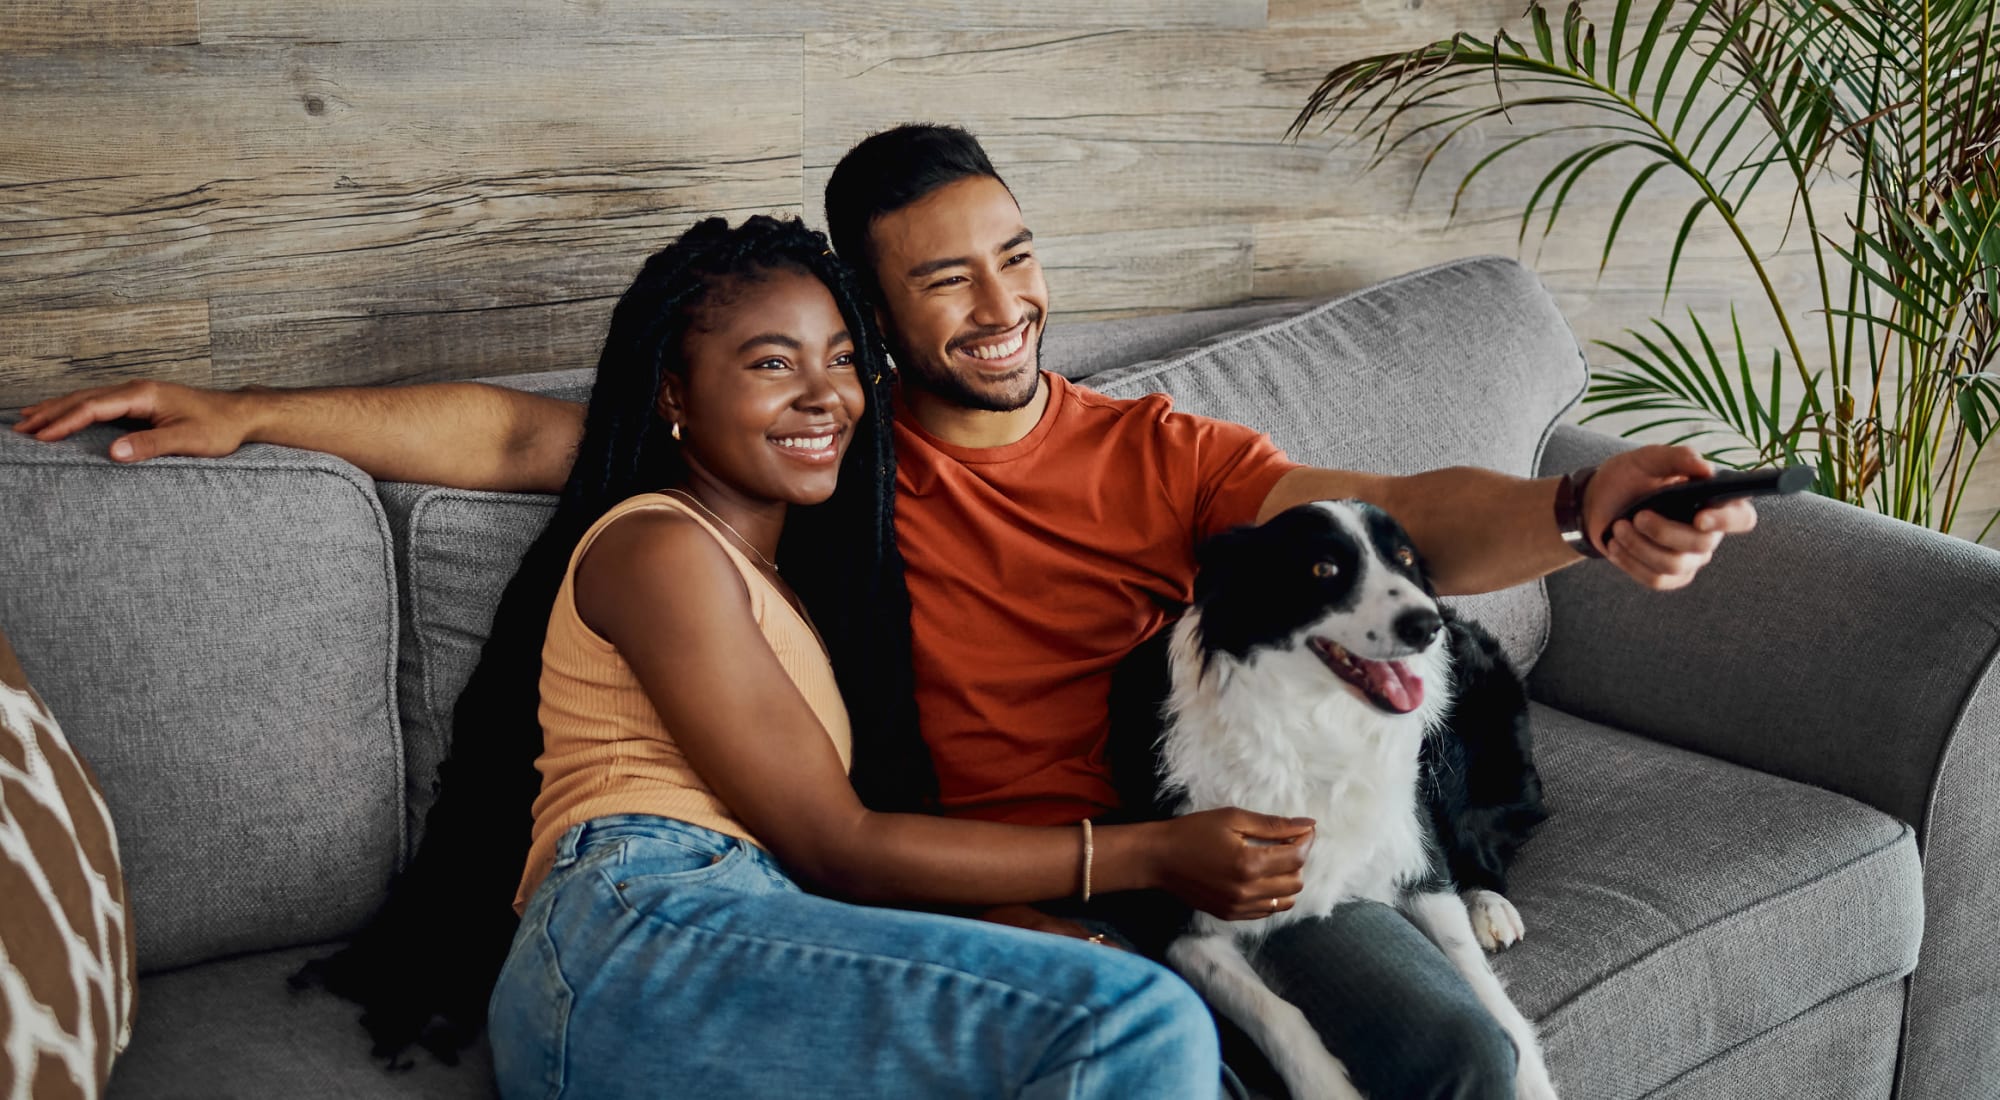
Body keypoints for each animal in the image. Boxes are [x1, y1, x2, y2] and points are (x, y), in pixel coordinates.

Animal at [1120, 504, 1552, 1100]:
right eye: (1323, 569)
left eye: (1405, 558)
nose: (1425, 626)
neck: (1315, 724)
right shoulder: (1183, 915)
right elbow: (1275, 1013)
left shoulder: (1413, 847)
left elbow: (1484, 988)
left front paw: (1532, 1077)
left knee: (1483, 846)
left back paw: (1490, 905)